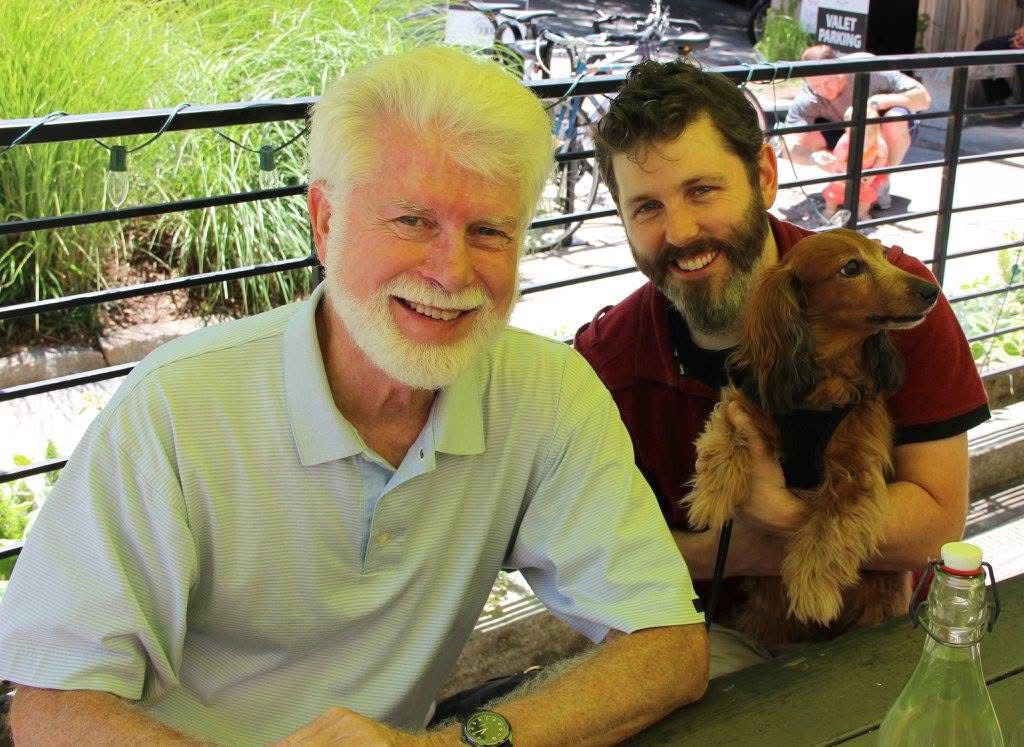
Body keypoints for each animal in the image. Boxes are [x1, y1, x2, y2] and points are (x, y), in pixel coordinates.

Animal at [685, 229, 940, 646]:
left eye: (884, 256)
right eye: (851, 268)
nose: (931, 290)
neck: (823, 379)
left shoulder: (855, 473)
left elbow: (827, 526)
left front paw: (811, 588)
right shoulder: (746, 403)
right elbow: (726, 432)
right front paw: (713, 494)